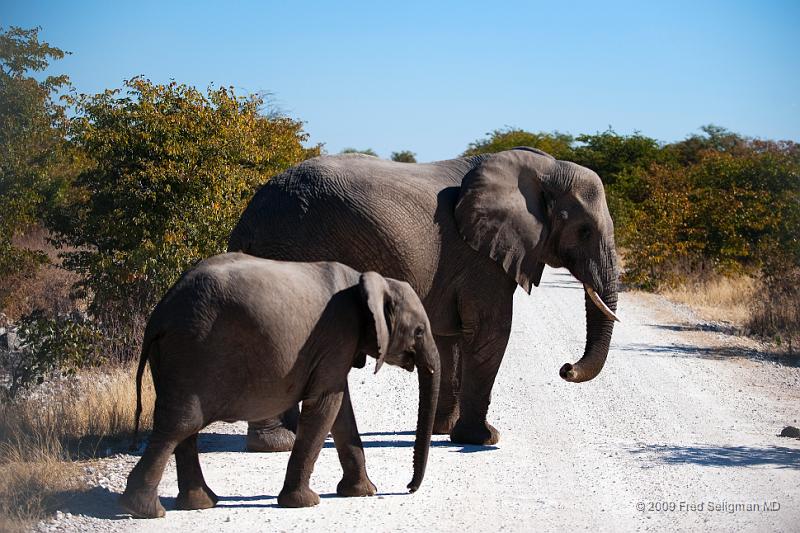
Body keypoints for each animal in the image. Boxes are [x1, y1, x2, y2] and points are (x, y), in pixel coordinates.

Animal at [119, 251, 440, 516]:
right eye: (419, 331)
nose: (408, 488)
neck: (367, 280)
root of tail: (159, 316)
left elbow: (340, 409)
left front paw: (363, 492)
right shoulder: (337, 335)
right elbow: (325, 405)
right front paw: (306, 502)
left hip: (173, 356)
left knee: (184, 429)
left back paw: (198, 504)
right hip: (191, 350)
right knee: (180, 424)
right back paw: (144, 510)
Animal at [228, 147, 620, 448]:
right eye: (584, 231)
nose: (566, 368)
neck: (543, 168)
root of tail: (249, 215)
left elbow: (450, 338)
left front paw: (441, 431)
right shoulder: (481, 257)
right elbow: (490, 332)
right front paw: (483, 438)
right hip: (292, 250)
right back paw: (279, 443)